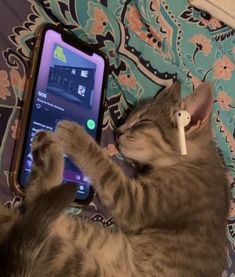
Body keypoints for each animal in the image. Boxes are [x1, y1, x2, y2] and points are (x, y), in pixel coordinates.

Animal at [0, 81, 230, 274]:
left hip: (71, 259)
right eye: (130, 118)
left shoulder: (136, 202)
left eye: (142, 122)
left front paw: (78, 136)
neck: (193, 162)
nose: (118, 131)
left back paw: (48, 149)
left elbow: (104, 167)